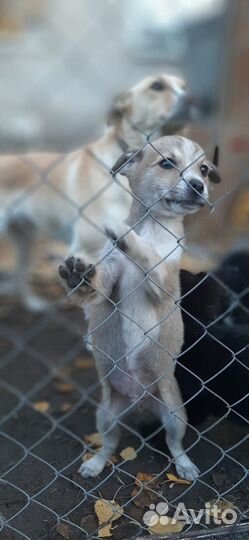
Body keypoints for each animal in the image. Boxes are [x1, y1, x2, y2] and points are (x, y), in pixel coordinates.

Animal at [0, 74, 193, 310]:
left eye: (184, 87)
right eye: (157, 86)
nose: (193, 100)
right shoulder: (86, 250)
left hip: (25, 239)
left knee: (20, 274)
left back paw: (33, 304)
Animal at [59, 135, 221, 480]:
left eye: (203, 169)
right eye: (167, 164)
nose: (199, 185)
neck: (154, 228)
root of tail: (140, 400)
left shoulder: (163, 283)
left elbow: (147, 257)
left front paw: (126, 235)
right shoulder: (106, 287)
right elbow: (95, 285)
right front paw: (79, 275)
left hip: (175, 415)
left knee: (175, 444)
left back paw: (185, 467)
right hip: (106, 415)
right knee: (109, 443)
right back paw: (94, 464)